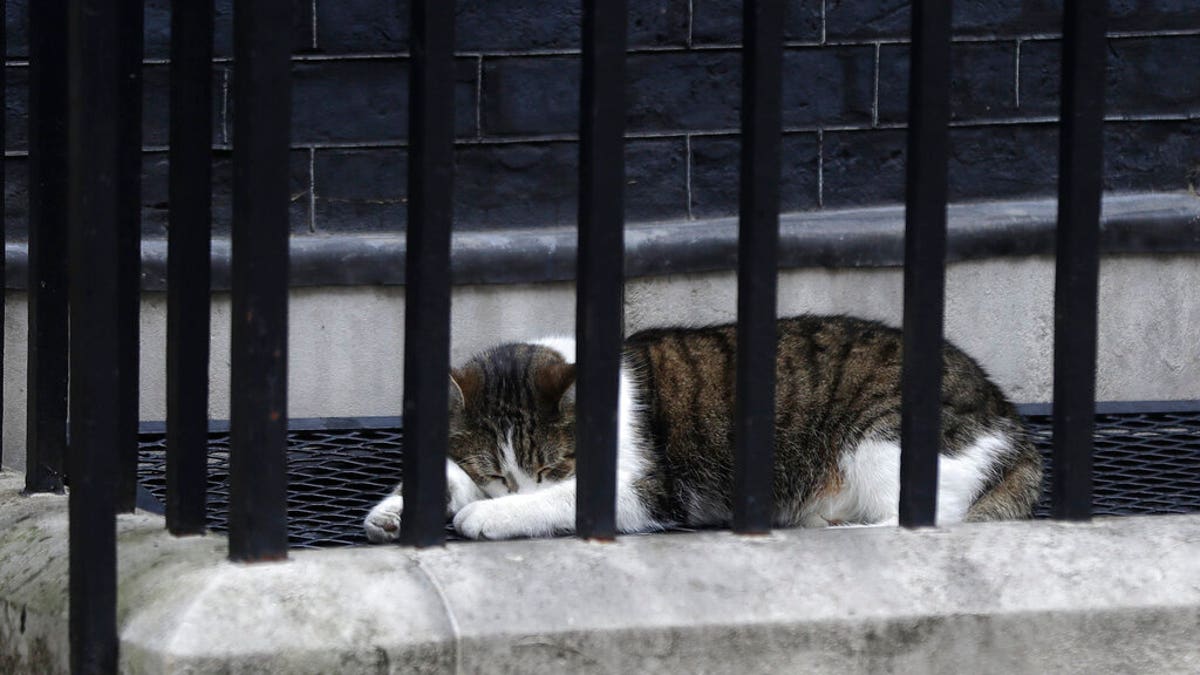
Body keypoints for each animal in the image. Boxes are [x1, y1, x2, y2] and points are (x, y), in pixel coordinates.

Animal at [362, 314, 1041, 540]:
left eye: (552, 466)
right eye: (497, 472)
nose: (511, 489)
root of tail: (1008, 419)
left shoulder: (643, 490)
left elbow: (560, 500)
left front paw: (487, 515)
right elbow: (449, 470)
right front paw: (397, 512)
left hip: (881, 437)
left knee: (930, 514)